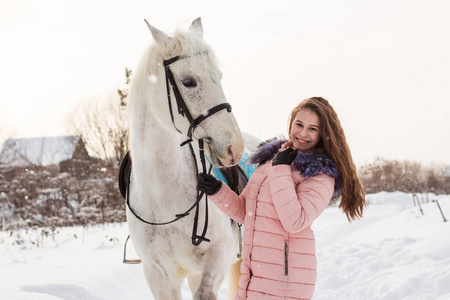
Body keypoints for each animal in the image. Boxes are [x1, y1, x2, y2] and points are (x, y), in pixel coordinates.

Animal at [126, 18, 244, 300]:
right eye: (189, 81)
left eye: (219, 77)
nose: (234, 147)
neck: (163, 200)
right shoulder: (157, 274)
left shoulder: (218, 256)